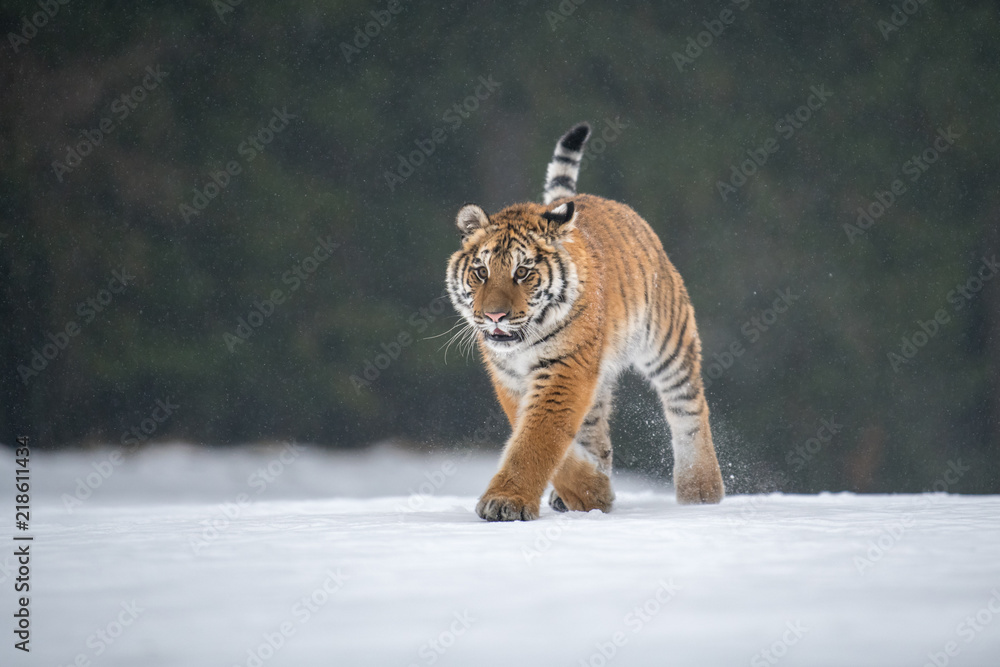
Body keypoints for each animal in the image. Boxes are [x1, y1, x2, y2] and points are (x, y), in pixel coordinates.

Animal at [446, 122, 725, 521]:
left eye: (522, 272)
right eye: (481, 272)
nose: (494, 315)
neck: (522, 345)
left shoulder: (564, 368)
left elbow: (538, 438)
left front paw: (506, 501)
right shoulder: (512, 378)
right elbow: (544, 439)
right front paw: (592, 492)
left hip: (667, 343)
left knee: (688, 408)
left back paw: (701, 492)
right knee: (596, 430)